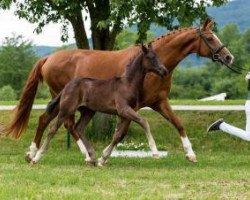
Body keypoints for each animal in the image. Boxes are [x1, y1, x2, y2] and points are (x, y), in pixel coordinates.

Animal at [31, 44, 168, 165]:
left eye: (158, 56)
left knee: (78, 128)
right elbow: (144, 122)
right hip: (66, 109)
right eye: (151, 57)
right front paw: (155, 152)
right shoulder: (124, 109)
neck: (127, 83)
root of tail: (66, 87)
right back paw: (36, 158)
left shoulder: (124, 114)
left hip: (88, 111)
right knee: (53, 128)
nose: (164, 71)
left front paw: (102, 159)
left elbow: (118, 135)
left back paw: (91, 157)